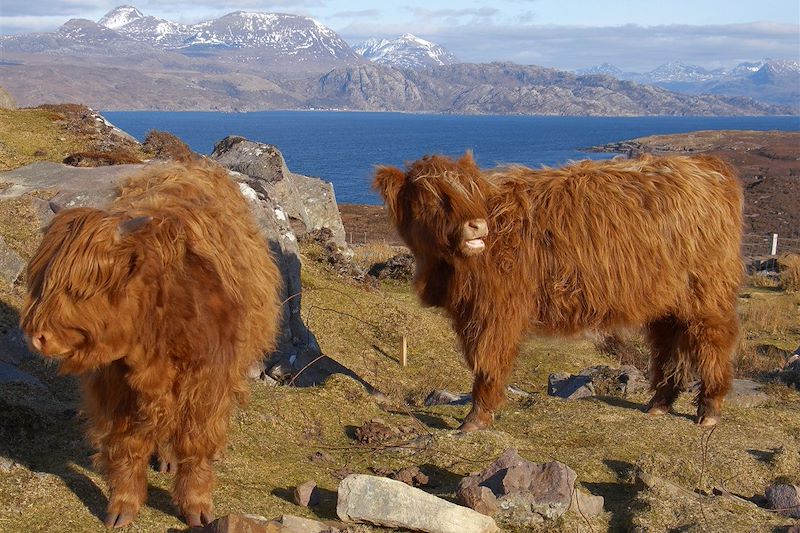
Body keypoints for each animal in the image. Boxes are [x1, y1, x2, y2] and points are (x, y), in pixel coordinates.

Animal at [20, 162, 282, 528]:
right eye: (41, 280)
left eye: (82, 288)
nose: (36, 336)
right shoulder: (117, 390)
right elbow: (127, 446)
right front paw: (122, 507)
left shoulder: (207, 385)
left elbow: (196, 444)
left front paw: (196, 506)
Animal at [376, 153, 744, 432]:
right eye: (432, 198)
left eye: (472, 192)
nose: (477, 225)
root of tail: (704, 164)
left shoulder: (495, 312)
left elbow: (487, 362)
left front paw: (476, 419)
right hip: (669, 300)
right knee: (670, 343)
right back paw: (659, 403)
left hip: (706, 293)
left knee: (713, 340)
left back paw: (709, 409)